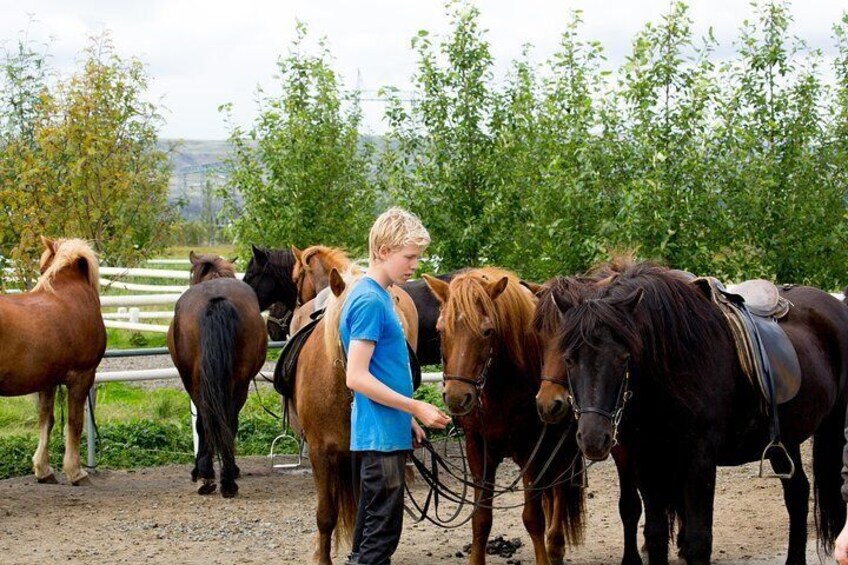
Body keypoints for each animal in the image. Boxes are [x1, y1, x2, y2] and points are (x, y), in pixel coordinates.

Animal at [0, 236, 105, 482]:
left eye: (41, 270)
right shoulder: (82, 376)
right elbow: (75, 423)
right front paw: (76, 472)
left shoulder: (46, 381)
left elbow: (46, 421)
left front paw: (43, 469)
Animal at [167, 251, 266, 494]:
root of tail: (216, 300)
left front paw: (200, 469)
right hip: (238, 383)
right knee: (226, 420)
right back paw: (226, 477)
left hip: (200, 382)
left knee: (210, 419)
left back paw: (213, 476)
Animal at [424, 268, 584, 564]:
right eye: (441, 330)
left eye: (488, 331)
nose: (457, 397)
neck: (500, 389)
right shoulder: (478, 450)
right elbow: (481, 519)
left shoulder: (531, 450)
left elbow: (533, 518)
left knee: (560, 488)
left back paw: (555, 547)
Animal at [548, 262, 848, 564]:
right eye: (569, 358)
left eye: (624, 357)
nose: (593, 438)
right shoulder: (646, 460)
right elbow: (655, 536)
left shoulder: (699, 460)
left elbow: (698, 542)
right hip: (785, 441)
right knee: (797, 494)